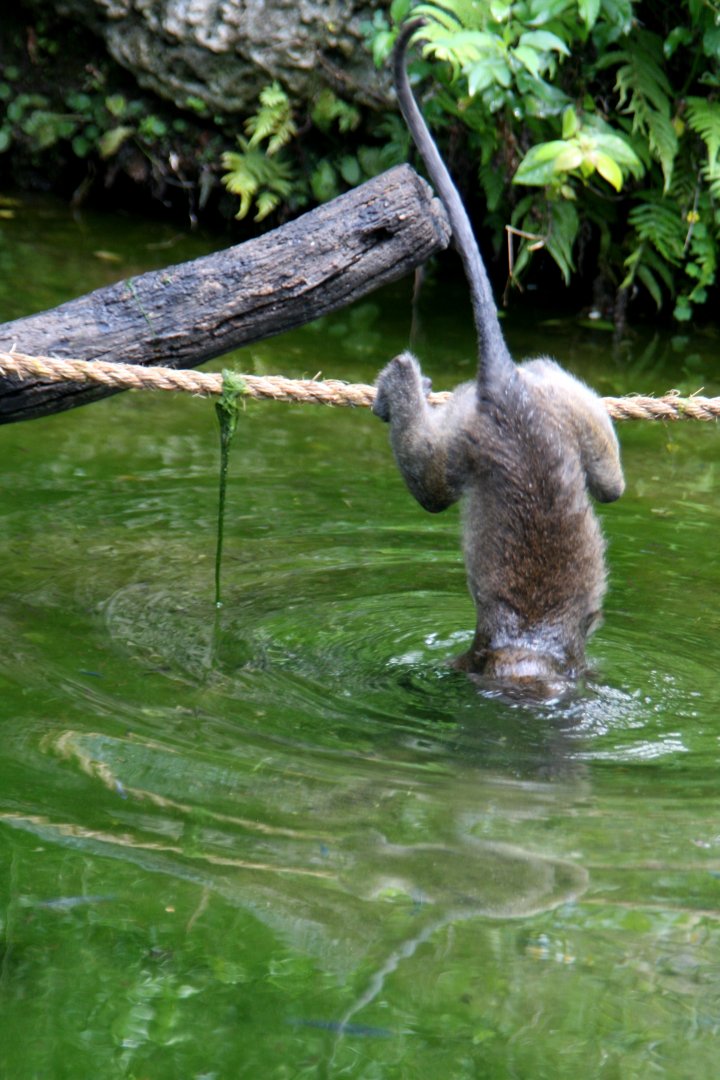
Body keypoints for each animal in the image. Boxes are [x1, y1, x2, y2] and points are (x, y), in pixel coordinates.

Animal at [373, 19, 625, 692]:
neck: (533, 645)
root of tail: (511, 394)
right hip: (496, 432)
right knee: (605, 484)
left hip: (488, 429)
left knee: (437, 484)